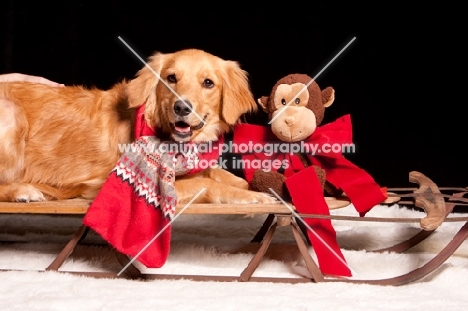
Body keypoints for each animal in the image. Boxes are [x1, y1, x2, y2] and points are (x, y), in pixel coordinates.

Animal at [0, 48, 276, 205]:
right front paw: (255, 196)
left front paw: (255, 186)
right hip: (12, 116)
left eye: (208, 83)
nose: (181, 107)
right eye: (171, 78)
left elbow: (222, 175)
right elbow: (206, 183)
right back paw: (23, 191)